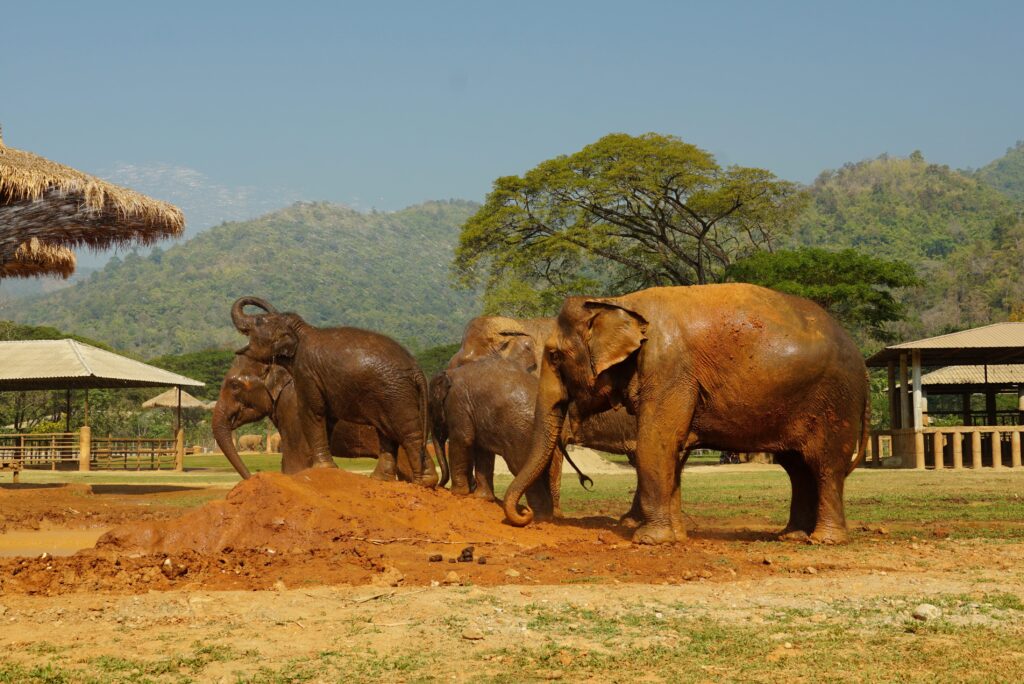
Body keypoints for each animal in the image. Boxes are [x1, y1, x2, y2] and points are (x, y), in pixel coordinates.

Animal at [230, 297, 440, 486]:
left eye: (258, 321)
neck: (301, 330)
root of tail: (417, 370)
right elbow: (327, 417)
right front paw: (326, 467)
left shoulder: (306, 372)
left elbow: (312, 411)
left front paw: (321, 468)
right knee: (387, 432)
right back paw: (384, 480)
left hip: (396, 393)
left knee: (408, 433)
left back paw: (422, 483)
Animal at [503, 284, 870, 545]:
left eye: (553, 355)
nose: (523, 514)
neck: (618, 302)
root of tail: (861, 358)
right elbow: (671, 449)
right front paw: (676, 538)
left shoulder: (668, 368)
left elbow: (655, 441)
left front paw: (649, 541)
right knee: (797, 467)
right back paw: (791, 536)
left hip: (835, 400)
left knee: (824, 465)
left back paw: (824, 541)